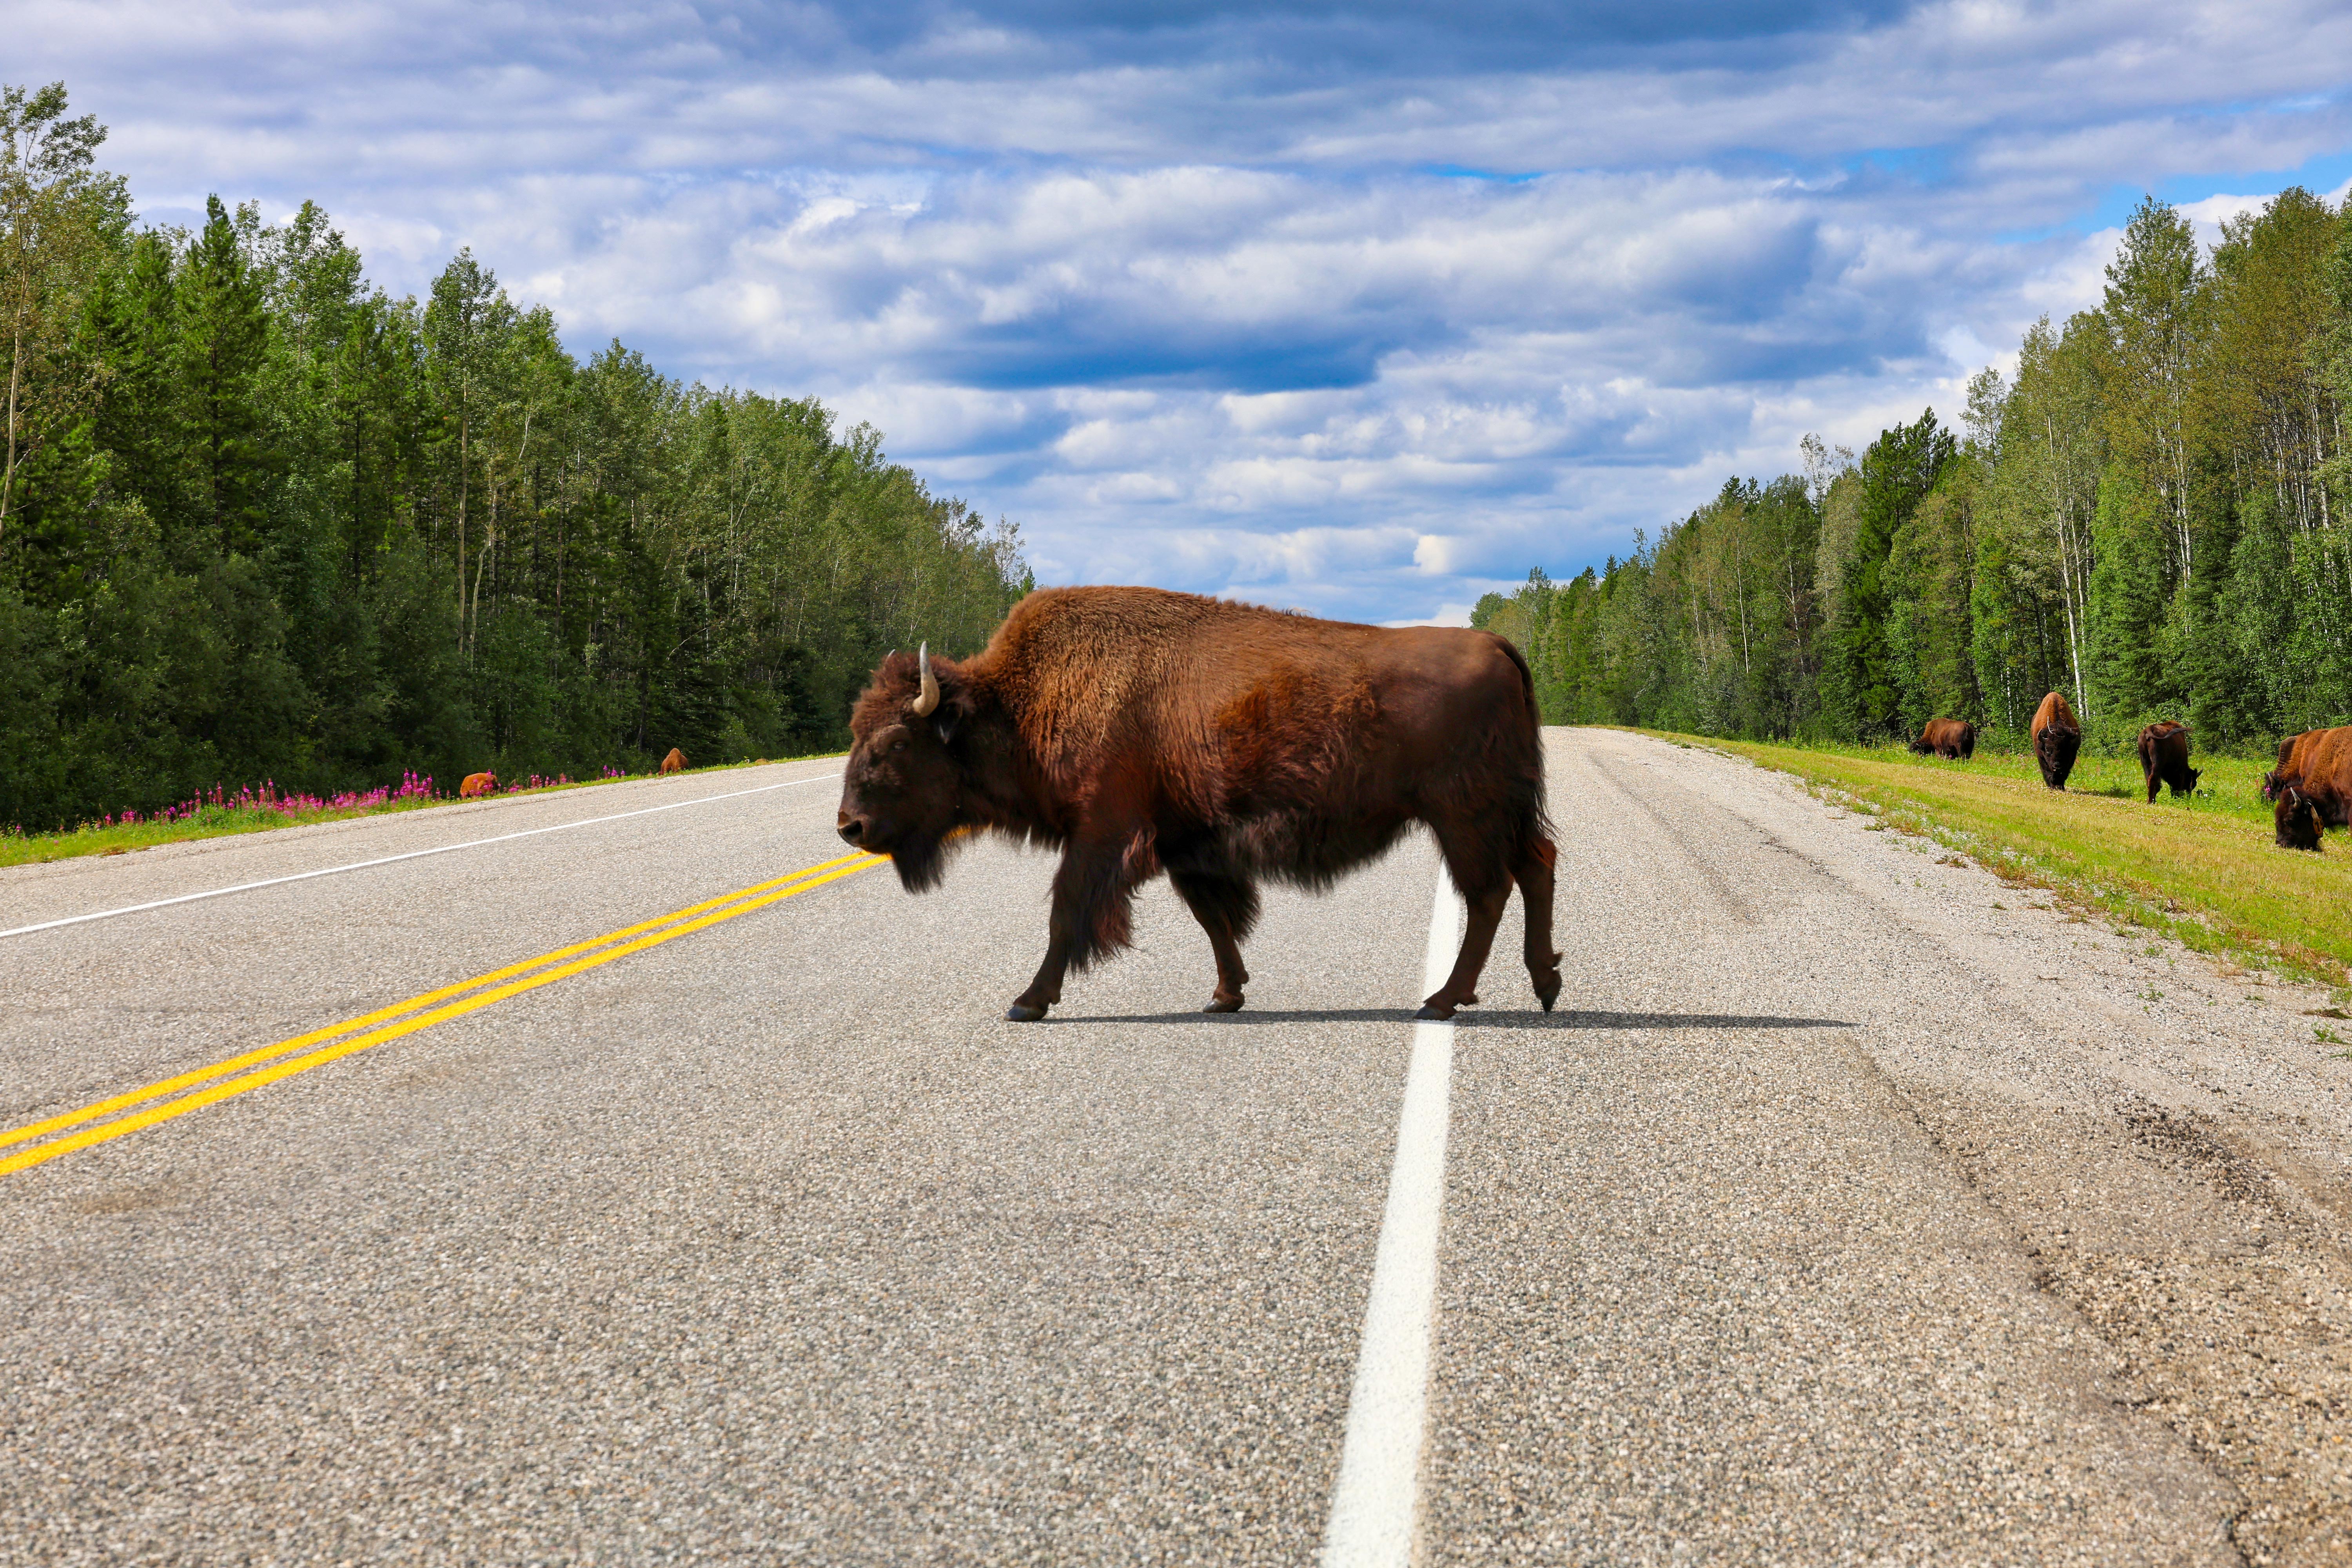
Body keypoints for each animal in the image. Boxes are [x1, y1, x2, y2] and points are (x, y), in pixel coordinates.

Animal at [836, 586, 1560, 1022]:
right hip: (1500, 813)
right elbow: (1214, 920)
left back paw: (1445, 1000)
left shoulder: (1102, 832)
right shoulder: (1185, 844)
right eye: (853, 731)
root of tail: (1495, 644)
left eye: (896, 741)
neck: (1020, 702)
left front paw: (1028, 1001)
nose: (850, 826)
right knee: (1536, 868)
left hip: (1463, 816)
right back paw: (1542, 985)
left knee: (1491, 891)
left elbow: (1067, 912)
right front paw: (1225, 996)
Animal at [1909, 718, 1976, 760]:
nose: (1910, 754)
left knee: (1962, 756)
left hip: (1959, 746)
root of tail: (1966, 727)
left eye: (1916, 749)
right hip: (1970, 747)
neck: (1933, 732)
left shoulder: (1939, 748)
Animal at [2030, 692, 2081, 790]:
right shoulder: (2041, 757)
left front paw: (2061, 786)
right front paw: (2052, 786)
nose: (2057, 767)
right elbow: (2047, 771)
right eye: (2048, 750)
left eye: (2065, 750)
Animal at [2135, 721, 2199, 802]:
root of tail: (2150, 729)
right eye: (2192, 783)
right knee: (2153, 780)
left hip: (2145, 762)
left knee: (2149, 780)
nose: (2188, 797)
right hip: (2157, 762)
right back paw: (2151, 801)